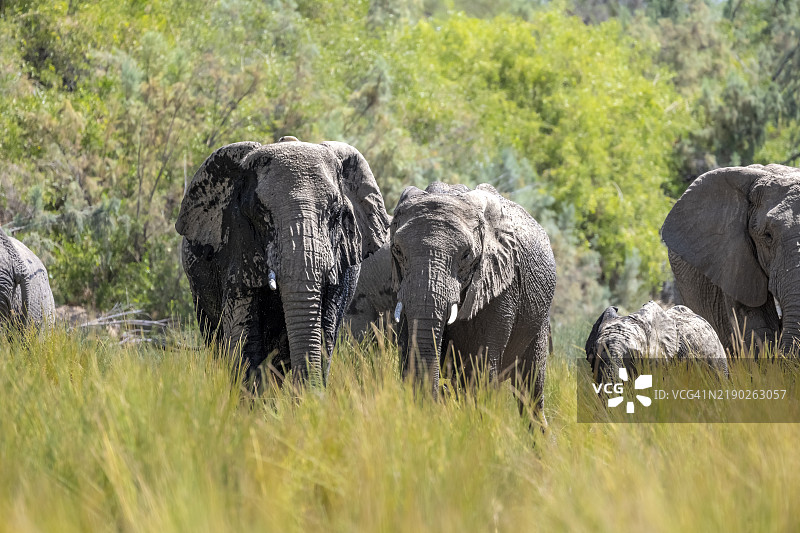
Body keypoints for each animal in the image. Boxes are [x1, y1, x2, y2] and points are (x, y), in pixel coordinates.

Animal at [390, 182, 556, 421]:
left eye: (466, 255)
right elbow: (409, 359)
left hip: (540, 319)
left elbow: (481, 371)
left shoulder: (501, 286)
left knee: (529, 390)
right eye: (397, 250)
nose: (441, 392)